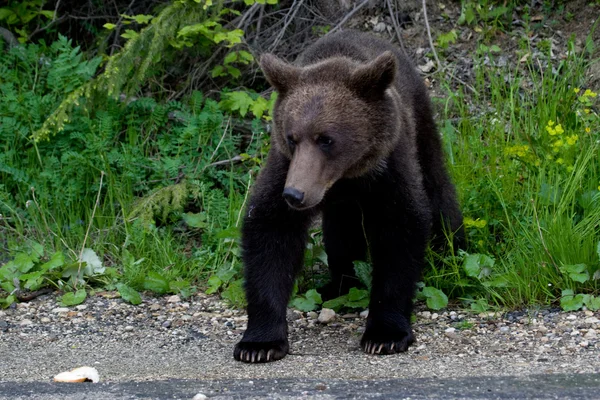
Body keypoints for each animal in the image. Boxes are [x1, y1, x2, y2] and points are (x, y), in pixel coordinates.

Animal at [232, 29, 462, 364]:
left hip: (420, 121)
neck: (345, 175)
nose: (295, 194)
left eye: (325, 139)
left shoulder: (388, 167)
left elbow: (400, 231)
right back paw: (338, 285)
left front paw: (385, 335)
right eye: (292, 137)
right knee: (340, 233)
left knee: (438, 185)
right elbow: (270, 230)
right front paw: (259, 343)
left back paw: (453, 251)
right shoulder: (285, 165)